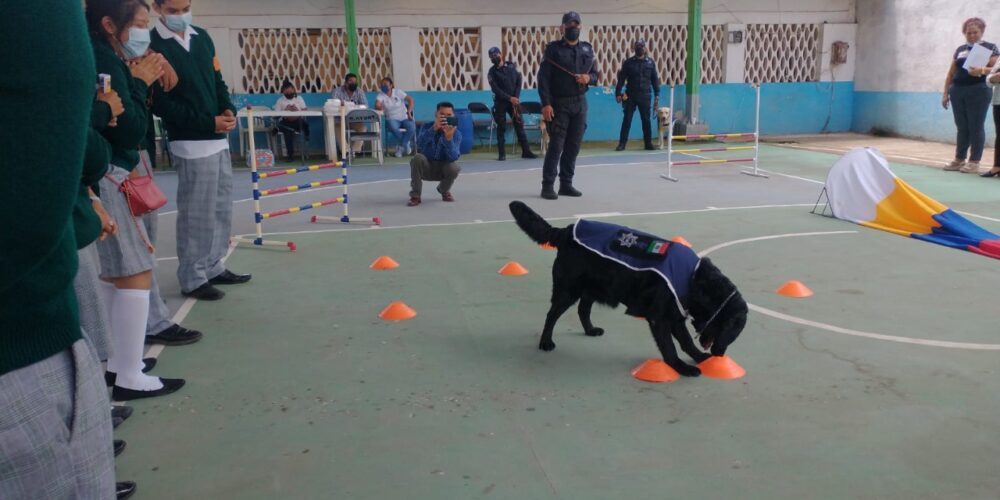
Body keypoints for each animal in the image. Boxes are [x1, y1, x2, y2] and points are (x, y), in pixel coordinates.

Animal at [512, 201, 748, 376]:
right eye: (731, 332)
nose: (720, 354)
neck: (695, 278)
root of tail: (567, 231)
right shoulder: (659, 317)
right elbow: (669, 346)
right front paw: (681, 367)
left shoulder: (674, 316)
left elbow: (686, 341)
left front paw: (698, 357)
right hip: (568, 289)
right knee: (552, 315)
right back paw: (545, 342)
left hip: (592, 287)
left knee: (582, 309)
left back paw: (590, 330)